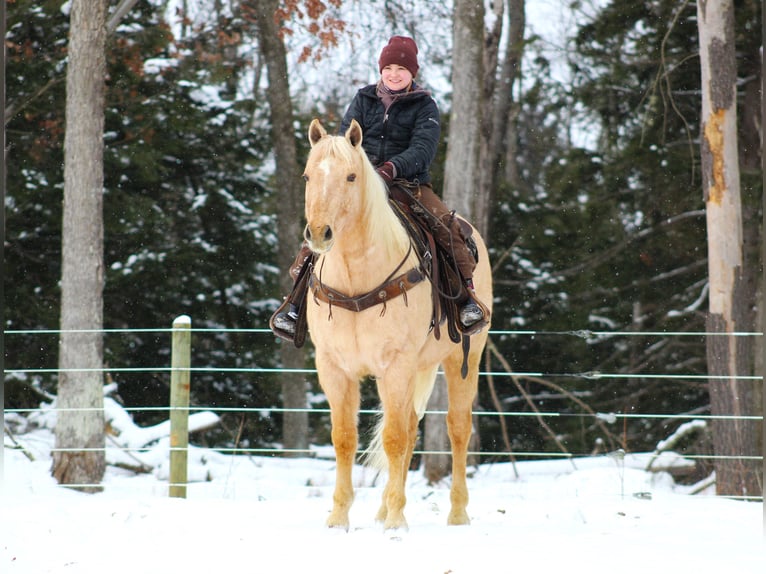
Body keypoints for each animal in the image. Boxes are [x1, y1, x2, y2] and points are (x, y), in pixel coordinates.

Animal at [304, 119, 496, 532]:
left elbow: (394, 438)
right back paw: (383, 508)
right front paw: (339, 517)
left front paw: (396, 522)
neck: (356, 281)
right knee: (410, 427)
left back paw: (456, 513)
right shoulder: (334, 368)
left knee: (457, 429)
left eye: (351, 176)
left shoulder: (396, 365)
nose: (320, 233)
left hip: (462, 360)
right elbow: (345, 438)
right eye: (308, 175)